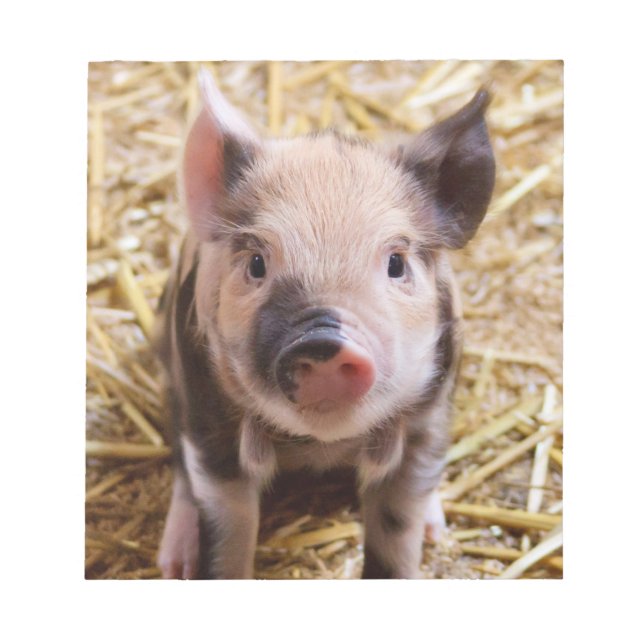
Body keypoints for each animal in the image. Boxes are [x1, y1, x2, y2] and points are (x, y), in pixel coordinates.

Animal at [155, 69, 495, 579]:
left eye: (396, 263)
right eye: (257, 263)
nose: (323, 340)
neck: (322, 444)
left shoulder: (428, 419)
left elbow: (398, 532)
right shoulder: (208, 417)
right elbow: (228, 533)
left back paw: (437, 531)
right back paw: (173, 562)